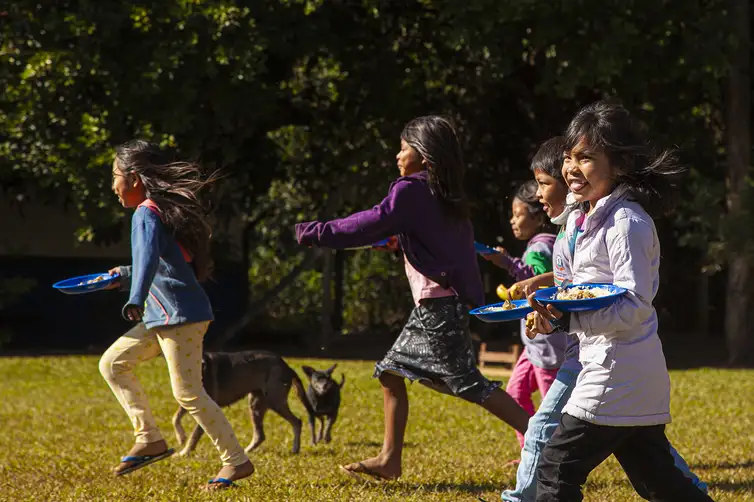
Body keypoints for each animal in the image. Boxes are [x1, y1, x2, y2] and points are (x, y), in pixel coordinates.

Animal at [173, 352, 314, 454]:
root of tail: (287, 367)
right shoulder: (186, 403)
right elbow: (175, 418)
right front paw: (181, 438)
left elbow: (194, 434)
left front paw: (184, 452)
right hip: (256, 404)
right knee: (260, 435)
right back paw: (247, 451)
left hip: (275, 401)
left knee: (297, 422)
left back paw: (295, 449)